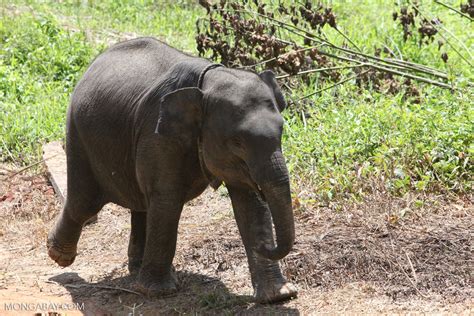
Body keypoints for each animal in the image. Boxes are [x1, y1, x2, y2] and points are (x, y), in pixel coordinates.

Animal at [49, 37, 300, 304]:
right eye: (238, 142)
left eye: (282, 132)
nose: (265, 246)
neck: (208, 81)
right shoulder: (157, 134)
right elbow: (167, 198)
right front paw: (159, 292)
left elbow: (250, 204)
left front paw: (279, 296)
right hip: (78, 134)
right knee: (84, 203)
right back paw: (59, 256)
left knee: (140, 204)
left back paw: (136, 269)